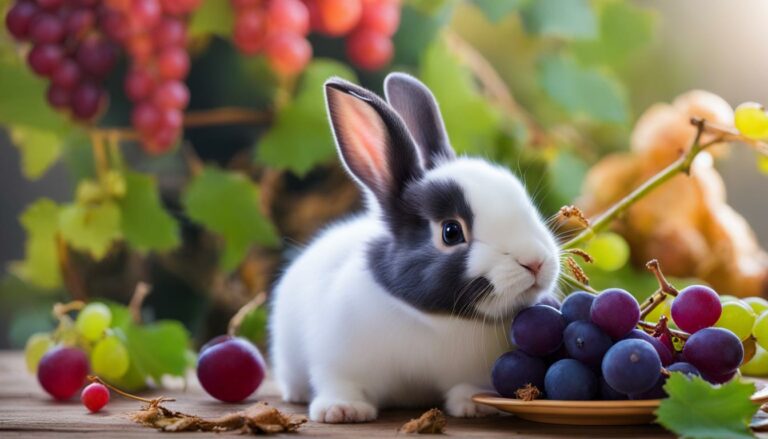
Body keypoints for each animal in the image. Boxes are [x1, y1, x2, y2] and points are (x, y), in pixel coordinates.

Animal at [269, 72, 560, 423]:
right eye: (451, 232)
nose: (535, 262)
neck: (435, 321)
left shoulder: (474, 372)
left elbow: (467, 387)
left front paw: (475, 406)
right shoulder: (338, 363)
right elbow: (341, 384)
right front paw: (341, 410)